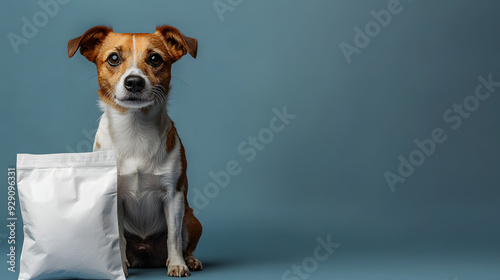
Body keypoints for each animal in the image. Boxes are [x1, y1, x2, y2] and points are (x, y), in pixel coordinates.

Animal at [67, 26, 202, 278]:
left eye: (155, 59)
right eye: (113, 58)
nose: (134, 82)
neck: (135, 129)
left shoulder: (174, 196)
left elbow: (174, 237)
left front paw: (177, 263)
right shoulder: (114, 198)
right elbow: (118, 238)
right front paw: (119, 267)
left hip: (192, 219)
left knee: (183, 240)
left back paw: (189, 259)